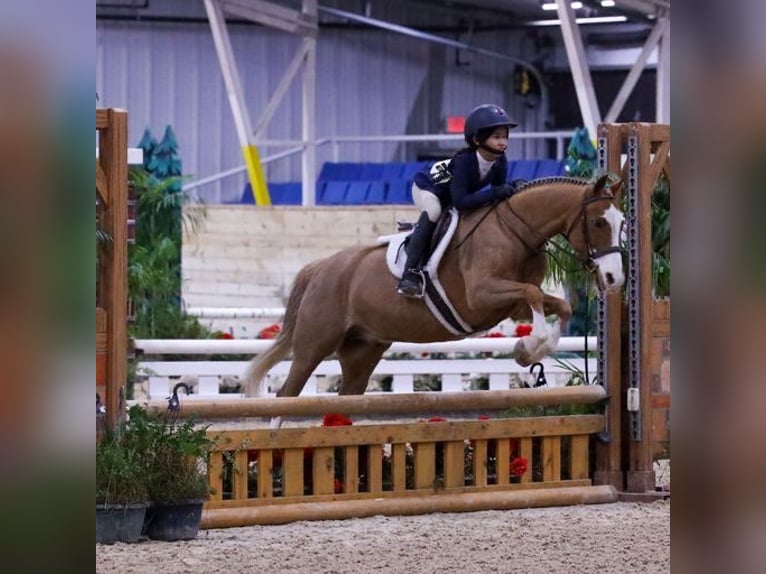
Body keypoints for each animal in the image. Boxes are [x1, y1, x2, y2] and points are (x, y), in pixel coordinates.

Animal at [244, 174, 624, 400]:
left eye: (622, 223)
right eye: (597, 222)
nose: (614, 279)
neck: (516, 231)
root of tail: (321, 267)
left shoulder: (510, 305)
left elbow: (559, 306)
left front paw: (529, 350)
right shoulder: (482, 295)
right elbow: (533, 296)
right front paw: (529, 347)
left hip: (362, 351)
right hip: (314, 345)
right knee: (287, 395)